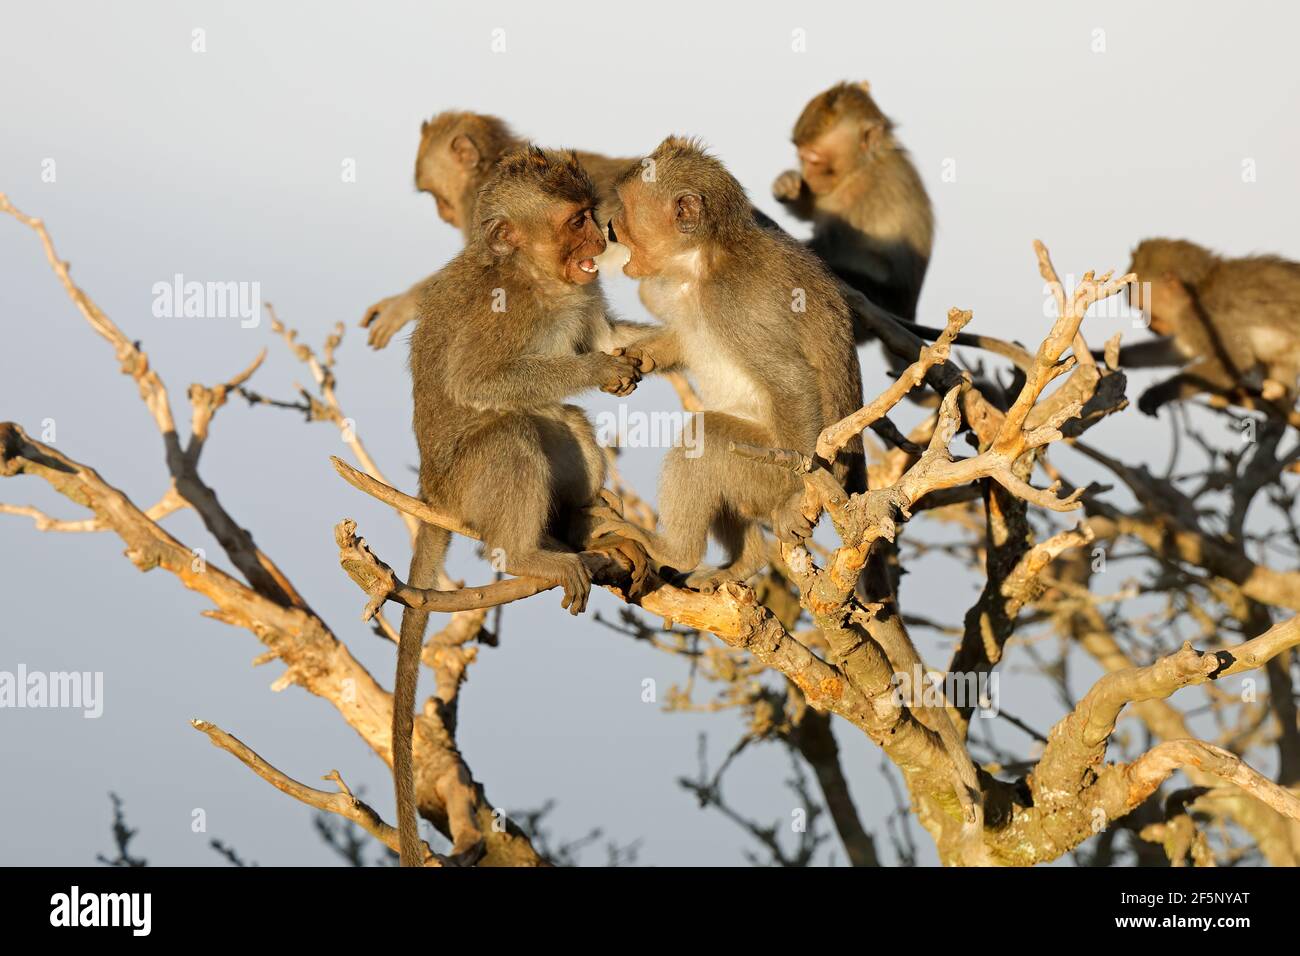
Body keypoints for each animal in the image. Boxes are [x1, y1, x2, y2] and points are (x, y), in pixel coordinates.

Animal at [387, 147, 647, 868]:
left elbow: (605, 333)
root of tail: (432, 492)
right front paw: (600, 371)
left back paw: (584, 527)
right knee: (511, 433)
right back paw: (527, 552)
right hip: (467, 486)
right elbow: (478, 380)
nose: (602, 242)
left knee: (564, 423)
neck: (539, 279)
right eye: (576, 221)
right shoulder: (504, 312)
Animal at [603, 138, 868, 595]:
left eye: (627, 209)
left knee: (708, 438)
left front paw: (795, 497)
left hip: (763, 469)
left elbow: (792, 381)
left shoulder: (735, 302)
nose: (609, 227)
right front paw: (637, 358)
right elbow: (681, 339)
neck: (700, 263)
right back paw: (744, 562)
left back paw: (676, 550)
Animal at [769, 79, 935, 332]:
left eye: (814, 159)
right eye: (801, 155)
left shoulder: (862, 193)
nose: (807, 174)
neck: (862, 166)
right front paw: (788, 185)